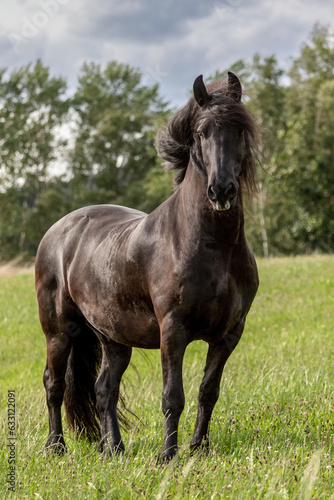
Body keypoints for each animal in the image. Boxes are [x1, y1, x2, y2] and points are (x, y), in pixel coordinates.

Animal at [36, 71, 260, 460]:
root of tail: (58, 230)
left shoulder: (229, 335)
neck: (214, 248)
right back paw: (56, 447)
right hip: (59, 331)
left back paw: (113, 449)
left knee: (103, 390)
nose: (221, 191)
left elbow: (208, 392)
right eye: (200, 133)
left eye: (239, 130)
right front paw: (167, 455)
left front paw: (198, 448)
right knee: (55, 385)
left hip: (113, 338)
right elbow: (173, 397)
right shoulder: (173, 330)